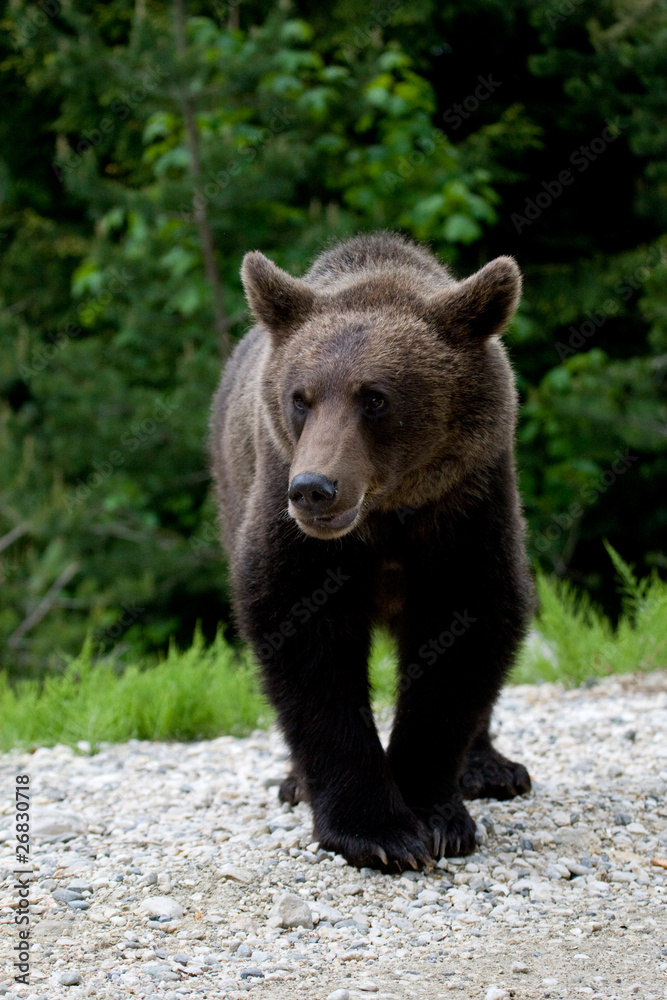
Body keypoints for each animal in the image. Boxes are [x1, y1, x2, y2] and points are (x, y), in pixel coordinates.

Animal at [211, 230, 536, 872]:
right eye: (301, 398)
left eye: (375, 398)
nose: (314, 488)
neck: (387, 511)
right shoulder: (291, 524)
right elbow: (305, 647)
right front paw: (378, 831)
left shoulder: (466, 504)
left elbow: (469, 629)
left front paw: (435, 815)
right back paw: (295, 781)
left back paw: (491, 768)